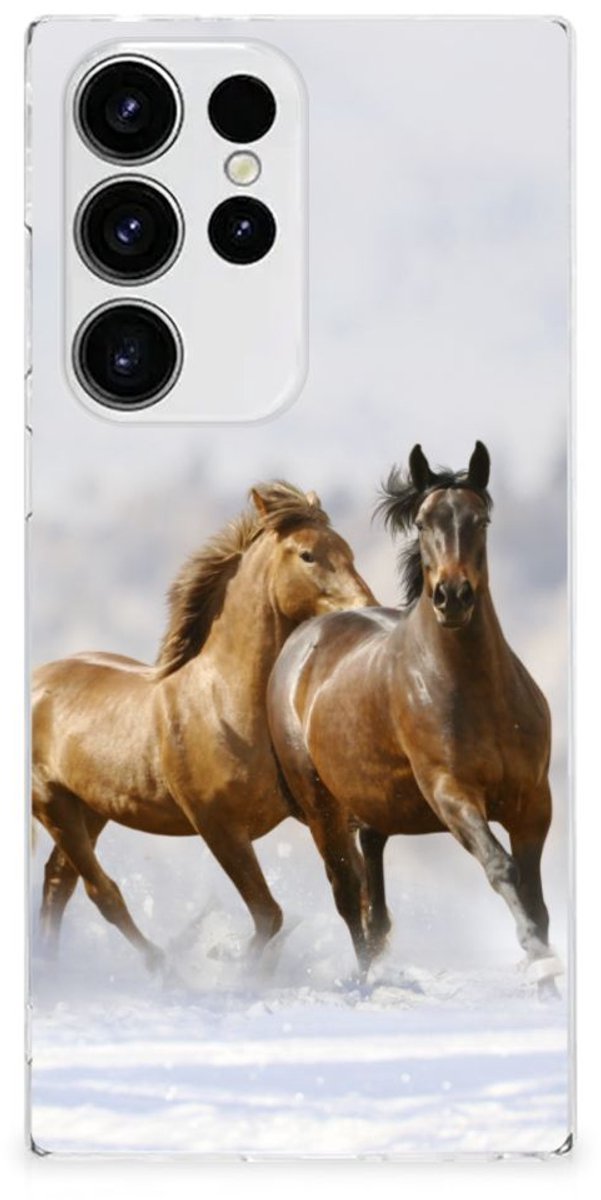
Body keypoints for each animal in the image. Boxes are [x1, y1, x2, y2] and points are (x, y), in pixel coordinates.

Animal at [32, 481, 375, 970]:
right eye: (308, 554)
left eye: (348, 550)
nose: (367, 609)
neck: (225, 705)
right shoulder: (218, 827)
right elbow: (269, 914)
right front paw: (234, 965)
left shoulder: (318, 812)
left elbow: (352, 893)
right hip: (53, 804)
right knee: (102, 892)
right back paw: (159, 965)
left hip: (91, 809)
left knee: (59, 882)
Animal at [267, 443, 563, 993]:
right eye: (424, 523)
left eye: (480, 519)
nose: (453, 596)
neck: (476, 692)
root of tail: (303, 639)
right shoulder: (451, 793)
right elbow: (502, 868)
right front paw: (537, 961)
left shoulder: (533, 801)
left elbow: (535, 896)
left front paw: (548, 981)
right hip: (321, 807)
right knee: (348, 895)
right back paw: (366, 983)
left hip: (374, 805)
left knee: (373, 894)